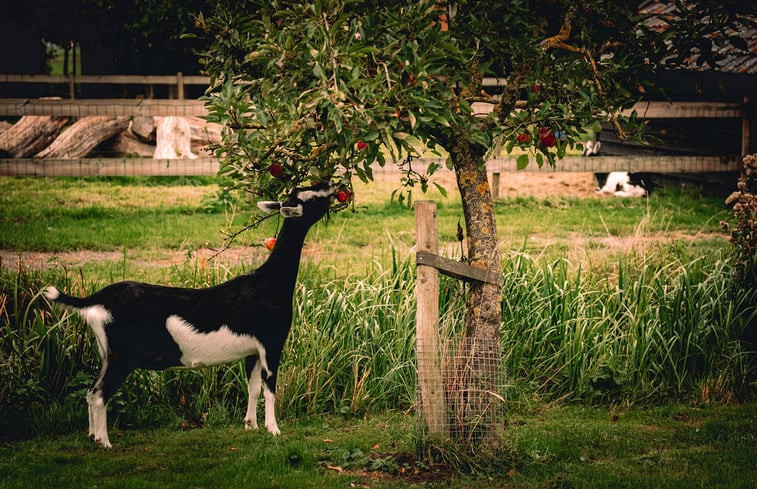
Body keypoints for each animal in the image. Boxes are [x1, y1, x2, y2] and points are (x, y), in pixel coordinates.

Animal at [42, 181, 336, 444]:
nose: (329, 185)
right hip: (123, 356)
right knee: (100, 394)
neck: (270, 282)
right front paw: (273, 430)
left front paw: (250, 425)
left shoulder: (252, 350)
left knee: (91, 392)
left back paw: (92, 436)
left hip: (106, 353)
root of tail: (97, 299)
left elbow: (252, 387)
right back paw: (104, 442)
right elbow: (270, 388)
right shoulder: (272, 342)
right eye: (311, 197)